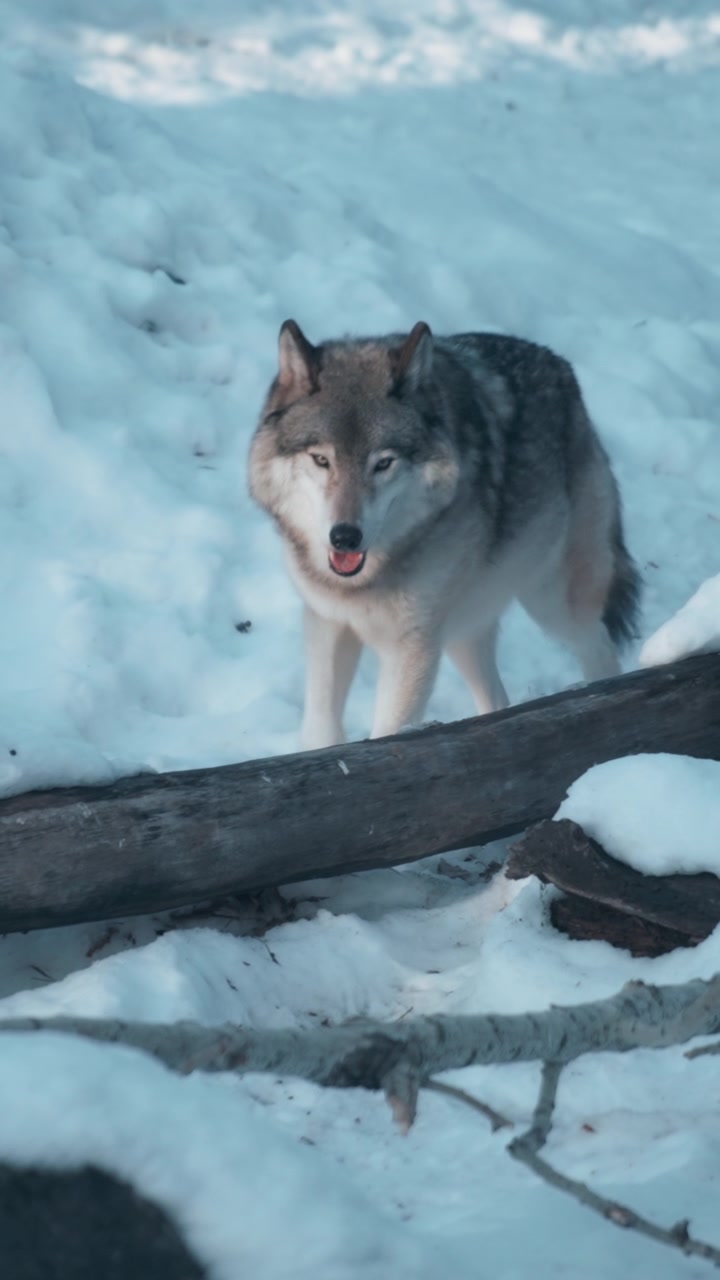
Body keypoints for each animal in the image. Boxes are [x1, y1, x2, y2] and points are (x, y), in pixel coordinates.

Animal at [249, 320, 640, 750]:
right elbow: (321, 730)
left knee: (601, 651)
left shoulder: (412, 648)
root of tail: (563, 369)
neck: (364, 581)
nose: (345, 537)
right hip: (464, 631)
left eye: (383, 464)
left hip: (552, 604)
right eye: (321, 460)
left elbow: (388, 734)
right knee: (497, 703)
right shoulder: (328, 623)